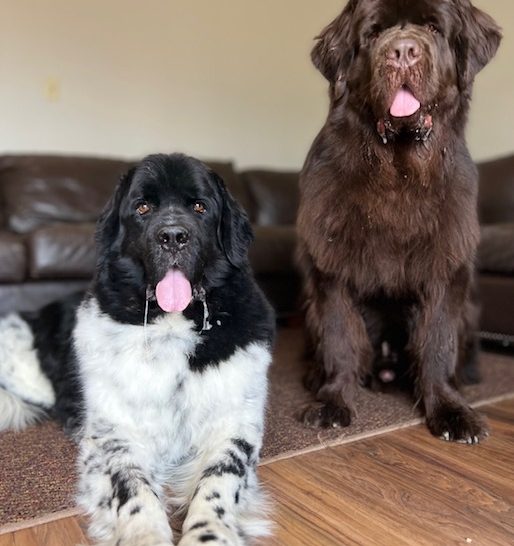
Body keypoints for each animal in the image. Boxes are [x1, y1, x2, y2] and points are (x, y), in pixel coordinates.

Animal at [0, 153, 274, 544]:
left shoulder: (235, 422)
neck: (171, 324)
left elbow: (219, 478)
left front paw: (209, 532)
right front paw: (145, 533)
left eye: (200, 207)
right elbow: (132, 485)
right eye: (143, 207)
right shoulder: (115, 432)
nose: (173, 236)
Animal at [296, 0, 500, 442]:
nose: (402, 51)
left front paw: (450, 411)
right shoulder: (331, 266)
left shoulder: (445, 267)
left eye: (434, 29)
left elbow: (437, 342)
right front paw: (333, 401)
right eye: (373, 34)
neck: (398, 171)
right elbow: (340, 336)